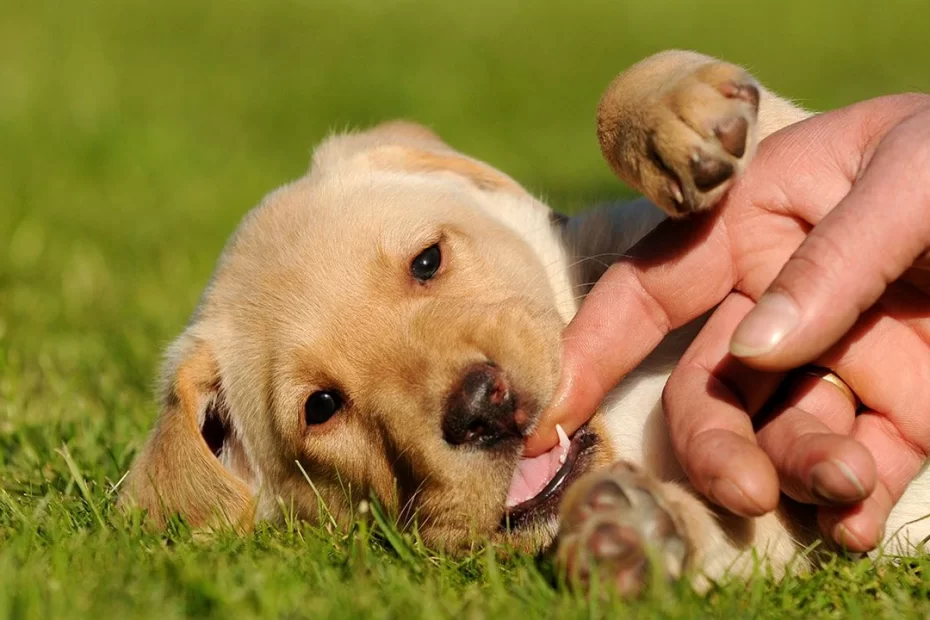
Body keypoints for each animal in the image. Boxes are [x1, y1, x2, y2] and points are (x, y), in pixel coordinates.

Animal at [121, 50, 928, 592]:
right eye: (321, 407)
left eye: (427, 261)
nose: (481, 409)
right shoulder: (805, 538)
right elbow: (740, 537)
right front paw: (636, 536)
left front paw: (675, 112)